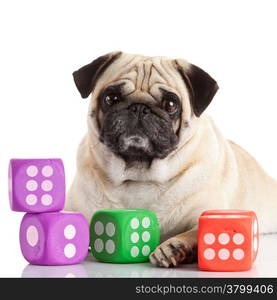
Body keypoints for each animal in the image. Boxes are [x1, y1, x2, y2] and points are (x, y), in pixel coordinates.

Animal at [66, 51, 276, 268]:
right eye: (111, 98)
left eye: (170, 104)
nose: (139, 107)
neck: (139, 176)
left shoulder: (207, 211)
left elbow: (197, 231)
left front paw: (173, 248)